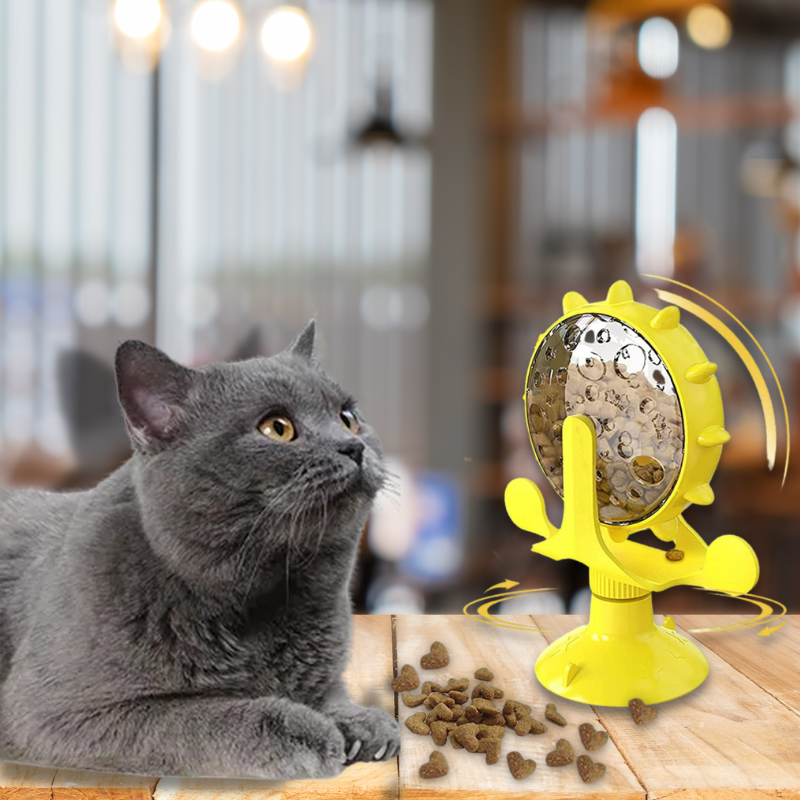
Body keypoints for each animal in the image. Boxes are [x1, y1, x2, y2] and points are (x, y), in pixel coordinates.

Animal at [0, 322, 400, 780]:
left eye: (348, 418)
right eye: (277, 428)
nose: (353, 447)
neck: (268, 598)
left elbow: (330, 690)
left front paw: (362, 721)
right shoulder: (50, 713)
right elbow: (195, 715)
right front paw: (307, 732)